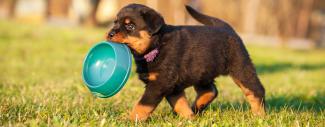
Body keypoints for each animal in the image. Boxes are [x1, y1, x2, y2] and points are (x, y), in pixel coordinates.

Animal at [105, 3, 264, 120]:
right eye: (115, 23)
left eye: (130, 26)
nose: (110, 33)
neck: (157, 45)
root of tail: (228, 28)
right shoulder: (172, 87)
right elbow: (180, 104)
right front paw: (189, 118)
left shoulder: (159, 83)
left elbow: (142, 105)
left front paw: (130, 120)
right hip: (202, 72)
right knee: (210, 90)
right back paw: (196, 108)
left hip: (240, 67)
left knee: (255, 91)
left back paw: (260, 115)